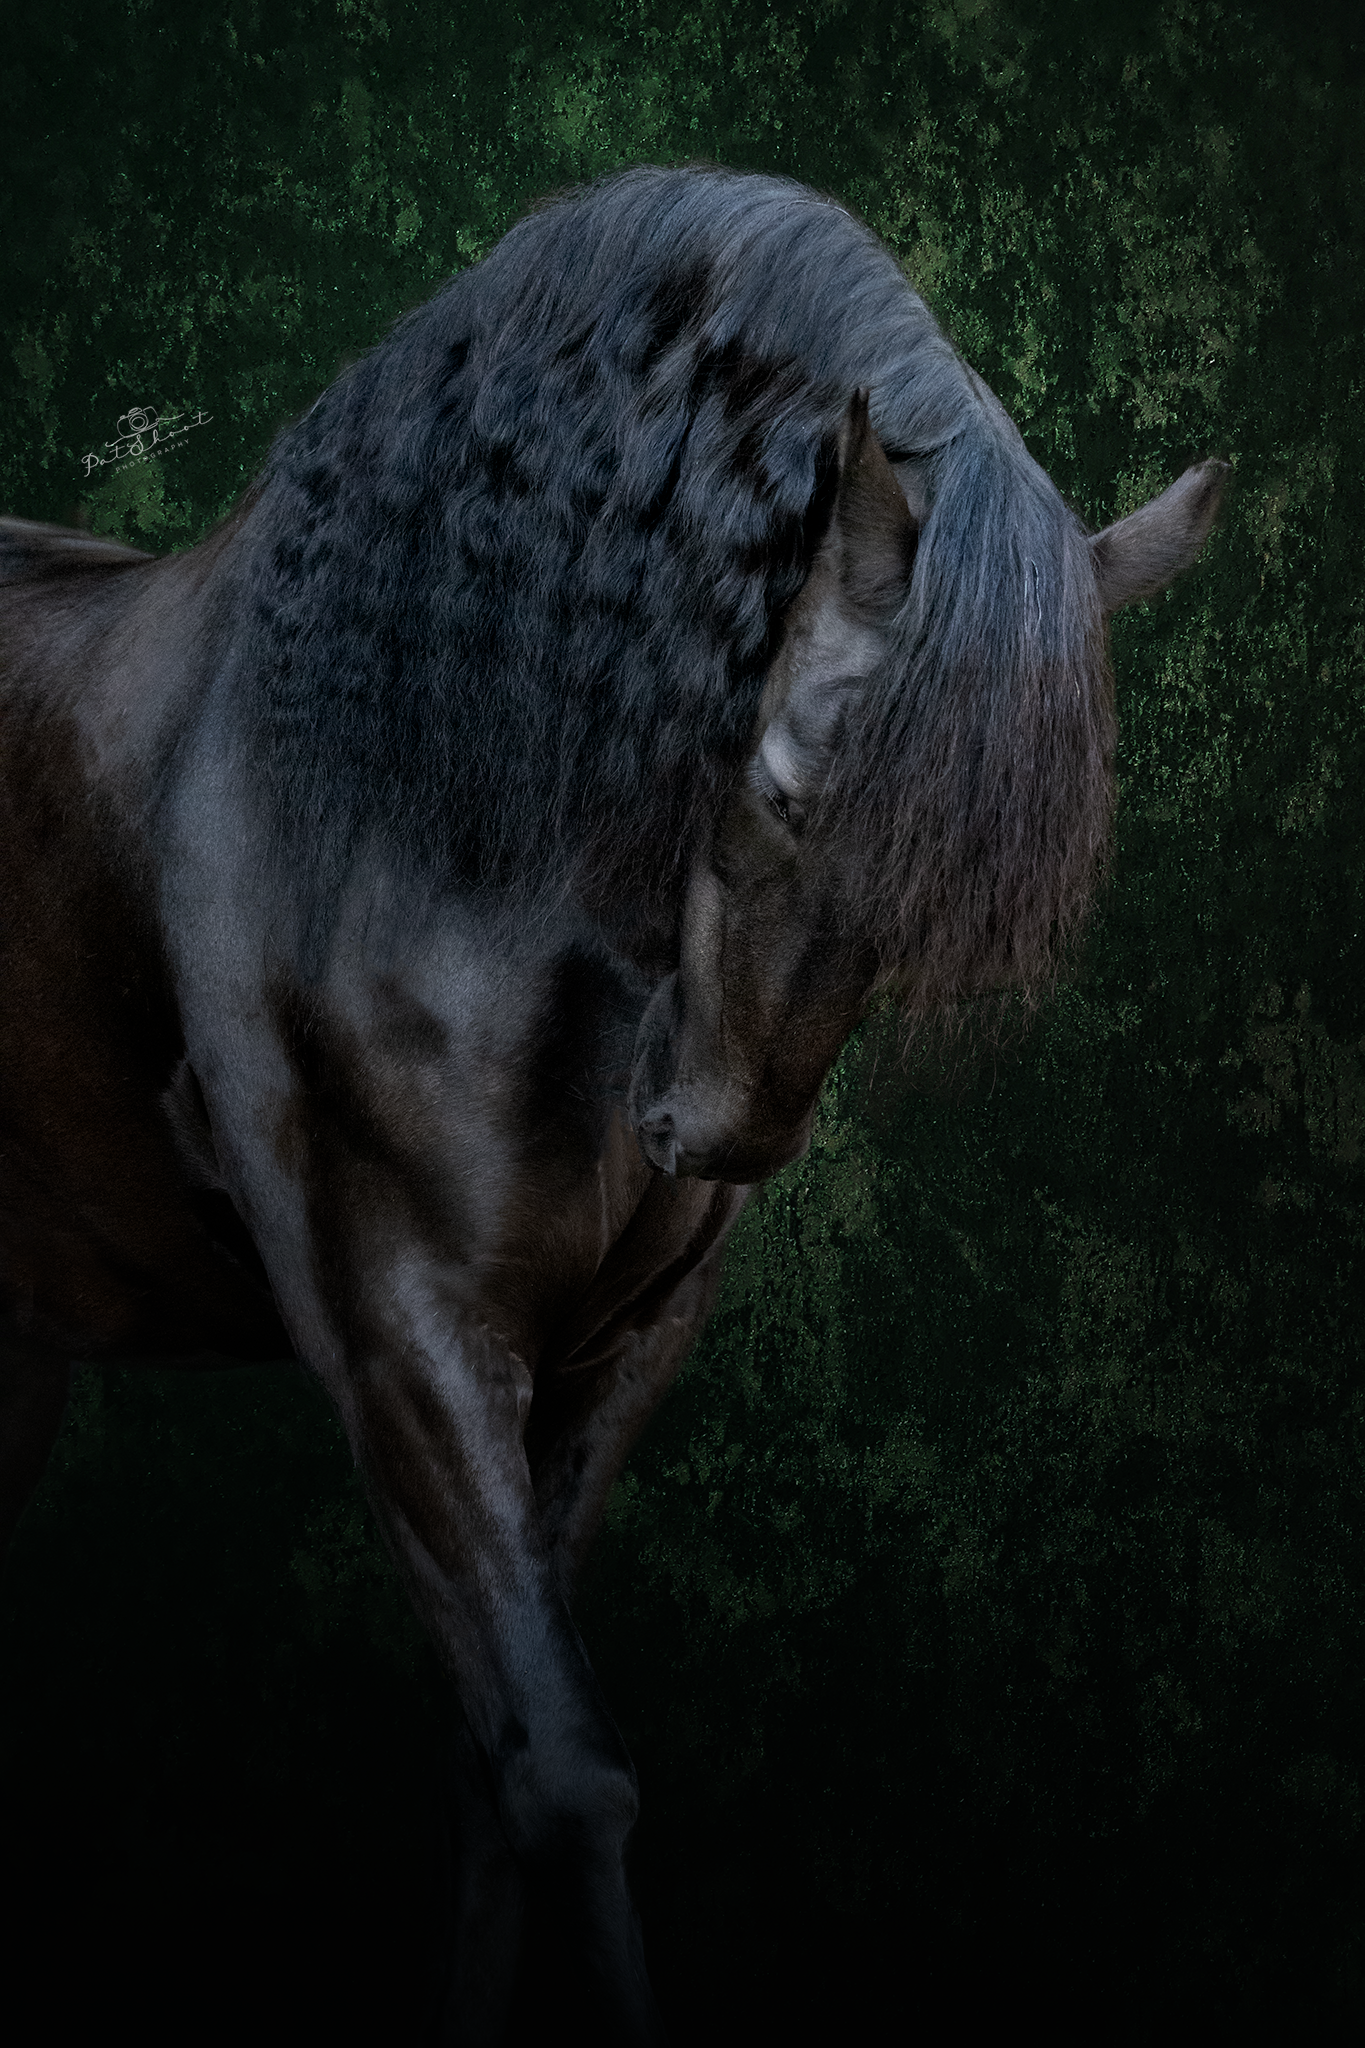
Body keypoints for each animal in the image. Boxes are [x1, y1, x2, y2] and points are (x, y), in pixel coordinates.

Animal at [0, 164, 1225, 2043]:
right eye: (781, 784)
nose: (714, 1131)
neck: (406, 808)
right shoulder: (402, 1334)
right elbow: (570, 1776)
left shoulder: (610, 1353)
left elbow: (502, 1767)